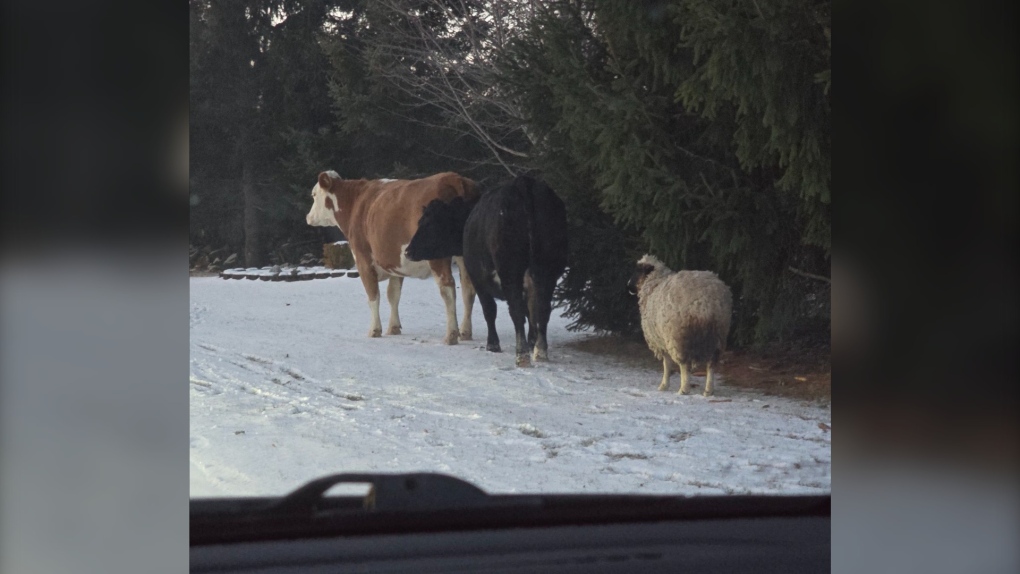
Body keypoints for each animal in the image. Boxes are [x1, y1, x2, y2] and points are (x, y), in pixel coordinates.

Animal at [306, 168, 477, 344]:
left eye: (314, 194)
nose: (308, 217)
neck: (356, 202)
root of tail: (453, 177)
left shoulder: (362, 257)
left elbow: (373, 295)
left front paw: (375, 330)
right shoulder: (395, 262)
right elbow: (393, 294)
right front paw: (393, 327)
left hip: (436, 254)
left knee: (448, 289)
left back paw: (451, 335)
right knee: (468, 289)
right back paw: (465, 332)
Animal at [403, 173, 567, 369]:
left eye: (429, 223)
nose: (408, 251)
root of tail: (523, 182)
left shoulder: (478, 276)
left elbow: (489, 310)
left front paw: (493, 344)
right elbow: (531, 312)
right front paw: (532, 341)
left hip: (511, 272)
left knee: (517, 311)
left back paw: (522, 356)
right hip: (548, 271)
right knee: (542, 309)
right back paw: (540, 352)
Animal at [624, 254, 730, 395]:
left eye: (638, 270)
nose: (628, 286)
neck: (654, 283)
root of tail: (705, 304)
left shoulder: (661, 340)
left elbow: (667, 364)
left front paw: (663, 385)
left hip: (679, 336)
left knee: (684, 365)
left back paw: (683, 389)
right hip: (717, 336)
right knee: (711, 364)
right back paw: (708, 390)